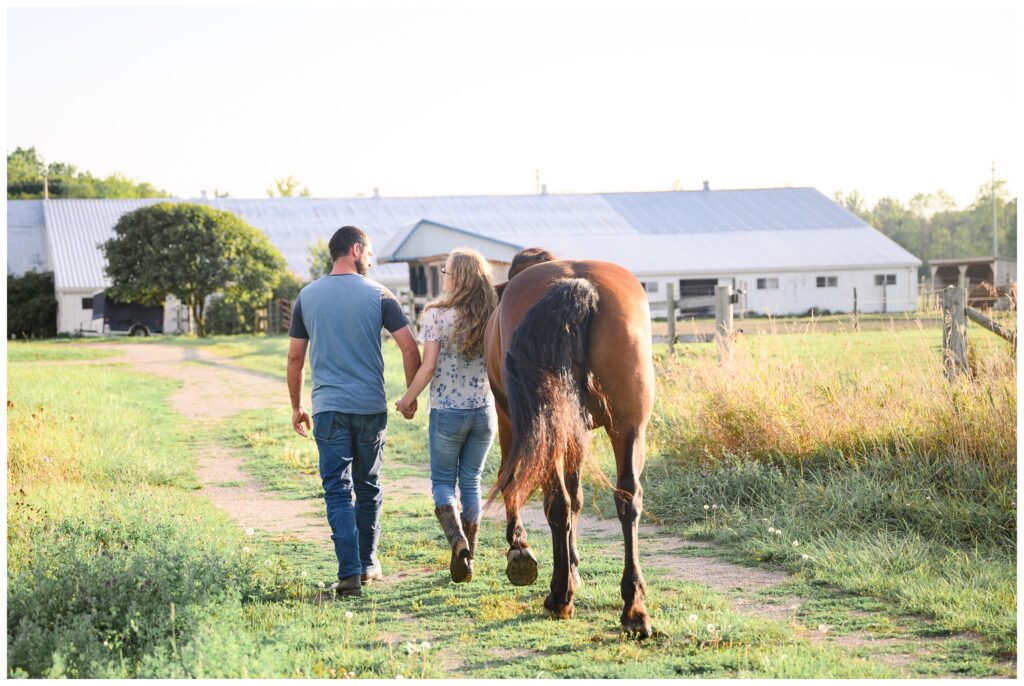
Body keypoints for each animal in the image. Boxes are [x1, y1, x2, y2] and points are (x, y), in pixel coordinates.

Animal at [481, 259, 655, 638]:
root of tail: (579, 285)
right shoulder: (578, 432)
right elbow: (577, 499)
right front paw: (573, 567)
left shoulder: (509, 419)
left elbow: (512, 480)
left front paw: (520, 547)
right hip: (629, 428)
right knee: (627, 499)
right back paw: (633, 607)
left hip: (545, 429)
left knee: (555, 502)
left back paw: (559, 596)